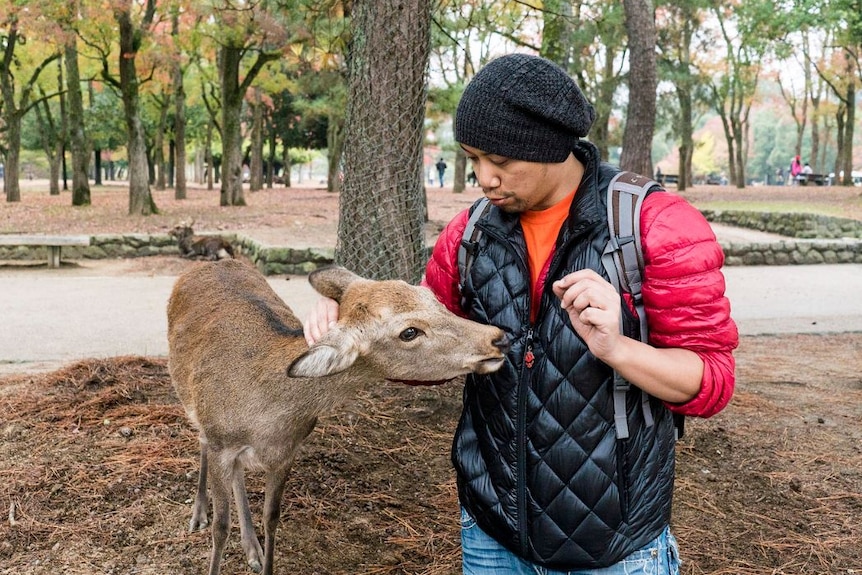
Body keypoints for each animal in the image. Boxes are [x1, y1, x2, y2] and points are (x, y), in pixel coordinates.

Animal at [165, 260, 510, 575]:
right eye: (409, 332)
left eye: (432, 298)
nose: (497, 337)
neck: (264, 416)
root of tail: (206, 264)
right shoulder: (221, 441)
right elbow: (221, 528)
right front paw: (214, 531)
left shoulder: (285, 452)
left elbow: (272, 517)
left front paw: (263, 557)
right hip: (191, 400)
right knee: (201, 441)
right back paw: (199, 513)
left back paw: (252, 549)